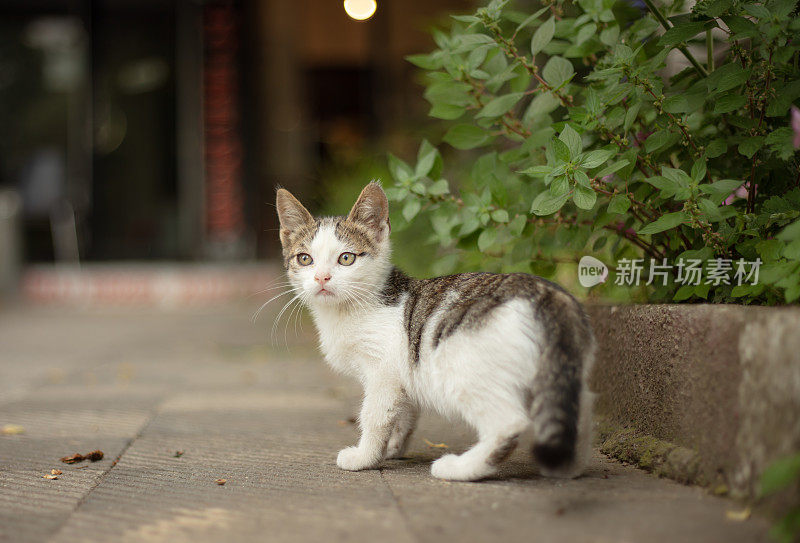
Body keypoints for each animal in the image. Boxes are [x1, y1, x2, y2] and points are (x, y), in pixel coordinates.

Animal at [276, 184, 592, 484]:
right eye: (304, 259)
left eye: (346, 258)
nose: (322, 278)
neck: (349, 310)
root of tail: (547, 291)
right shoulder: (402, 375)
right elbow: (403, 413)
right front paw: (392, 448)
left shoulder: (383, 373)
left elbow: (375, 414)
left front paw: (365, 457)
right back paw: (568, 466)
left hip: (462, 367)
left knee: (508, 422)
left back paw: (460, 468)